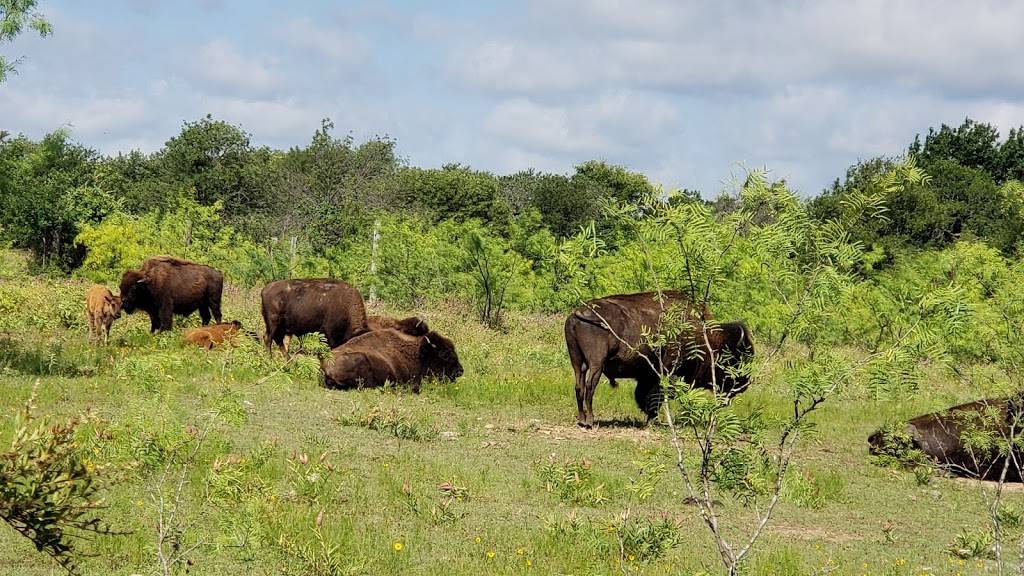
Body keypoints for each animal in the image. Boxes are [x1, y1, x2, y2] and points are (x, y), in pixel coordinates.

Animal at [565, 291, 757, 426]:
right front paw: (653, 419)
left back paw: (581, 419)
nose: (744, 384)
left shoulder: (647, 376)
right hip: (596, 364)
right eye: (734, 359)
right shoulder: (665, 373)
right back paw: (590, 421)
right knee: (589, 387)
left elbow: (643, 395)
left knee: (579, 386)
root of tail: (579, 312)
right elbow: (657, 395)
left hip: (577, 362)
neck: (705, 338)